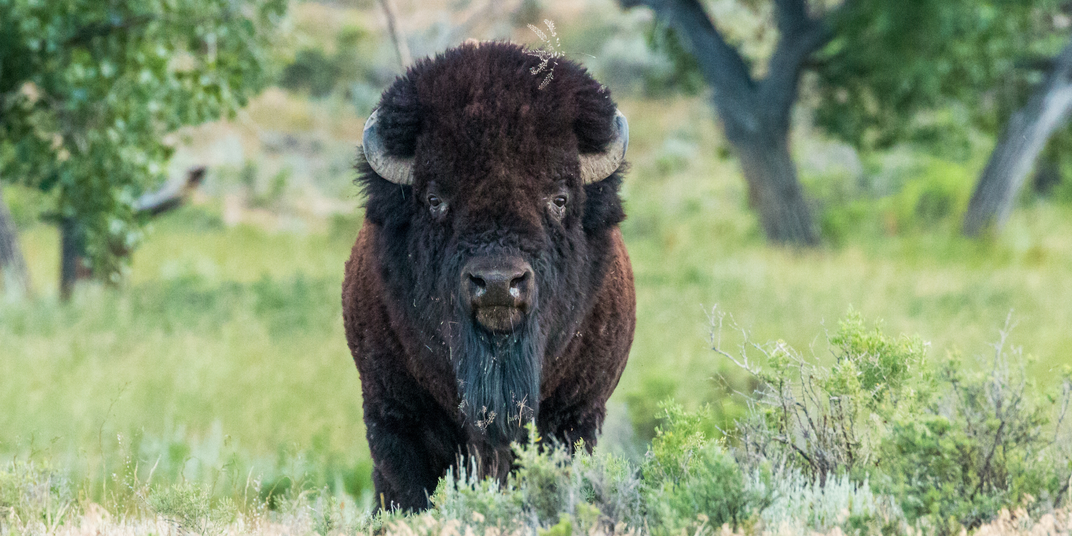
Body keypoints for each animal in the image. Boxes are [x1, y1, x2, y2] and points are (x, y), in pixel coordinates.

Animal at [338, 41, 630, 510]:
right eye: (435, 199)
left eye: (560, 197)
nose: (497, 283)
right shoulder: (394, 414)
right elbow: (406, 489)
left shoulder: (575, 415)